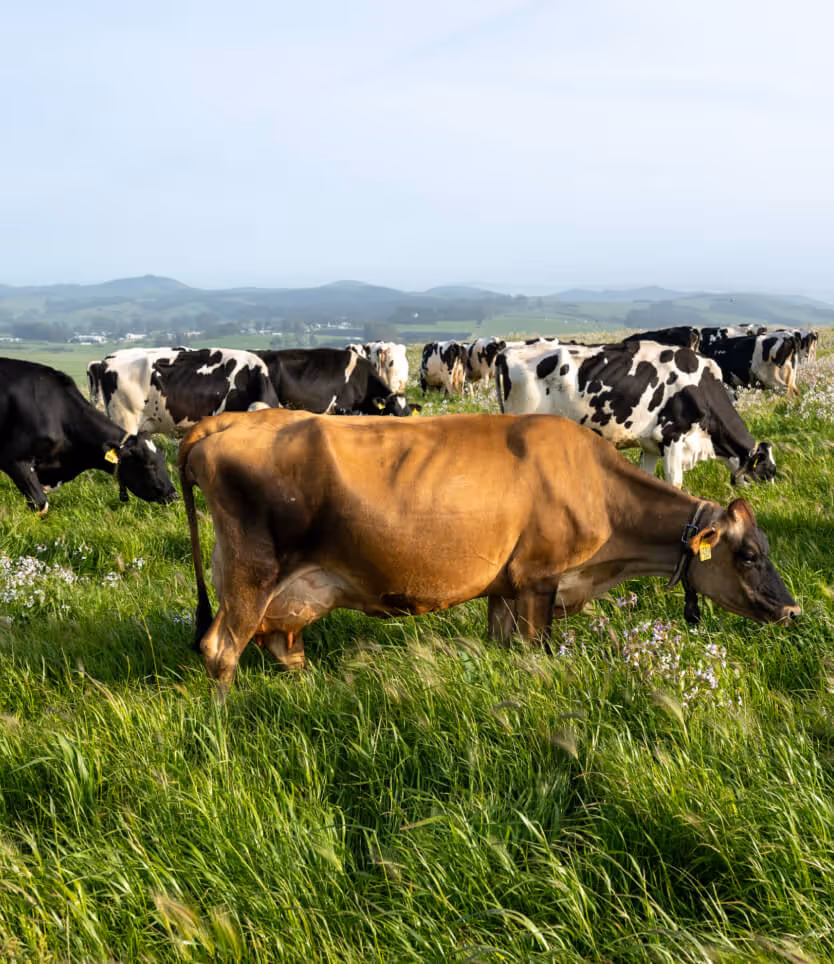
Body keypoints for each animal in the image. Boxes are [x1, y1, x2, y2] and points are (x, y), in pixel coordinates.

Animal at [179, 409, 799, 693]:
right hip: (252, 574)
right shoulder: (539, 581)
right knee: (221, 649)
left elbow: (502, 648)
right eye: (748, 555)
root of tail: (224, 421)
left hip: (279, 591)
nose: (792, 609)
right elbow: (535, 654)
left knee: (282, 646)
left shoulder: (505, 588)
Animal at [495, 340, 776, 488]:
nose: (769, 496)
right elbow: (675, 483)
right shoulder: (672, 435)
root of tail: (508, 350)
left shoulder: (650, 444)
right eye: (768, 470)